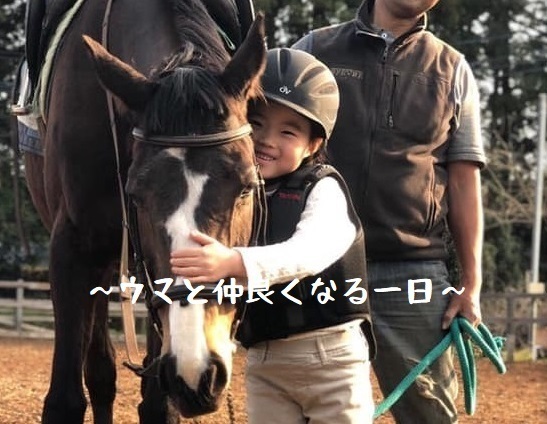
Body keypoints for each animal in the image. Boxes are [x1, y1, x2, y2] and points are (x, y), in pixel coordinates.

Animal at [21, 0, 266, 422]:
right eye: (135, 194)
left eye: (246, 187)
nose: (198, 372)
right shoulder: (71, 247)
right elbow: (65, 401)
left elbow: (158, 406)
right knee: (100, 373)